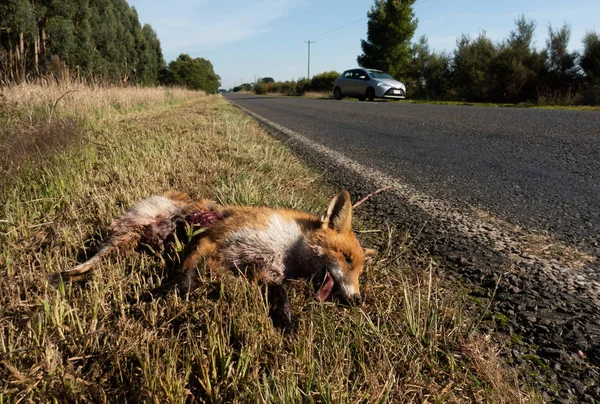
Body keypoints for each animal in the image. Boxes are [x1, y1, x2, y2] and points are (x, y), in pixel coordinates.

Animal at [57, 191, 366, 330]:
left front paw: (285, 322)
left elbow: (281, 296)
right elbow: (184, 281)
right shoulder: (209, 241)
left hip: (132, 241)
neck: (284, 249)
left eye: (360, 273)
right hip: (125, 237)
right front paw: (154, 296)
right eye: (347, 259)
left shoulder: (262, 273)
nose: (358, 300)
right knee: (90, 261)